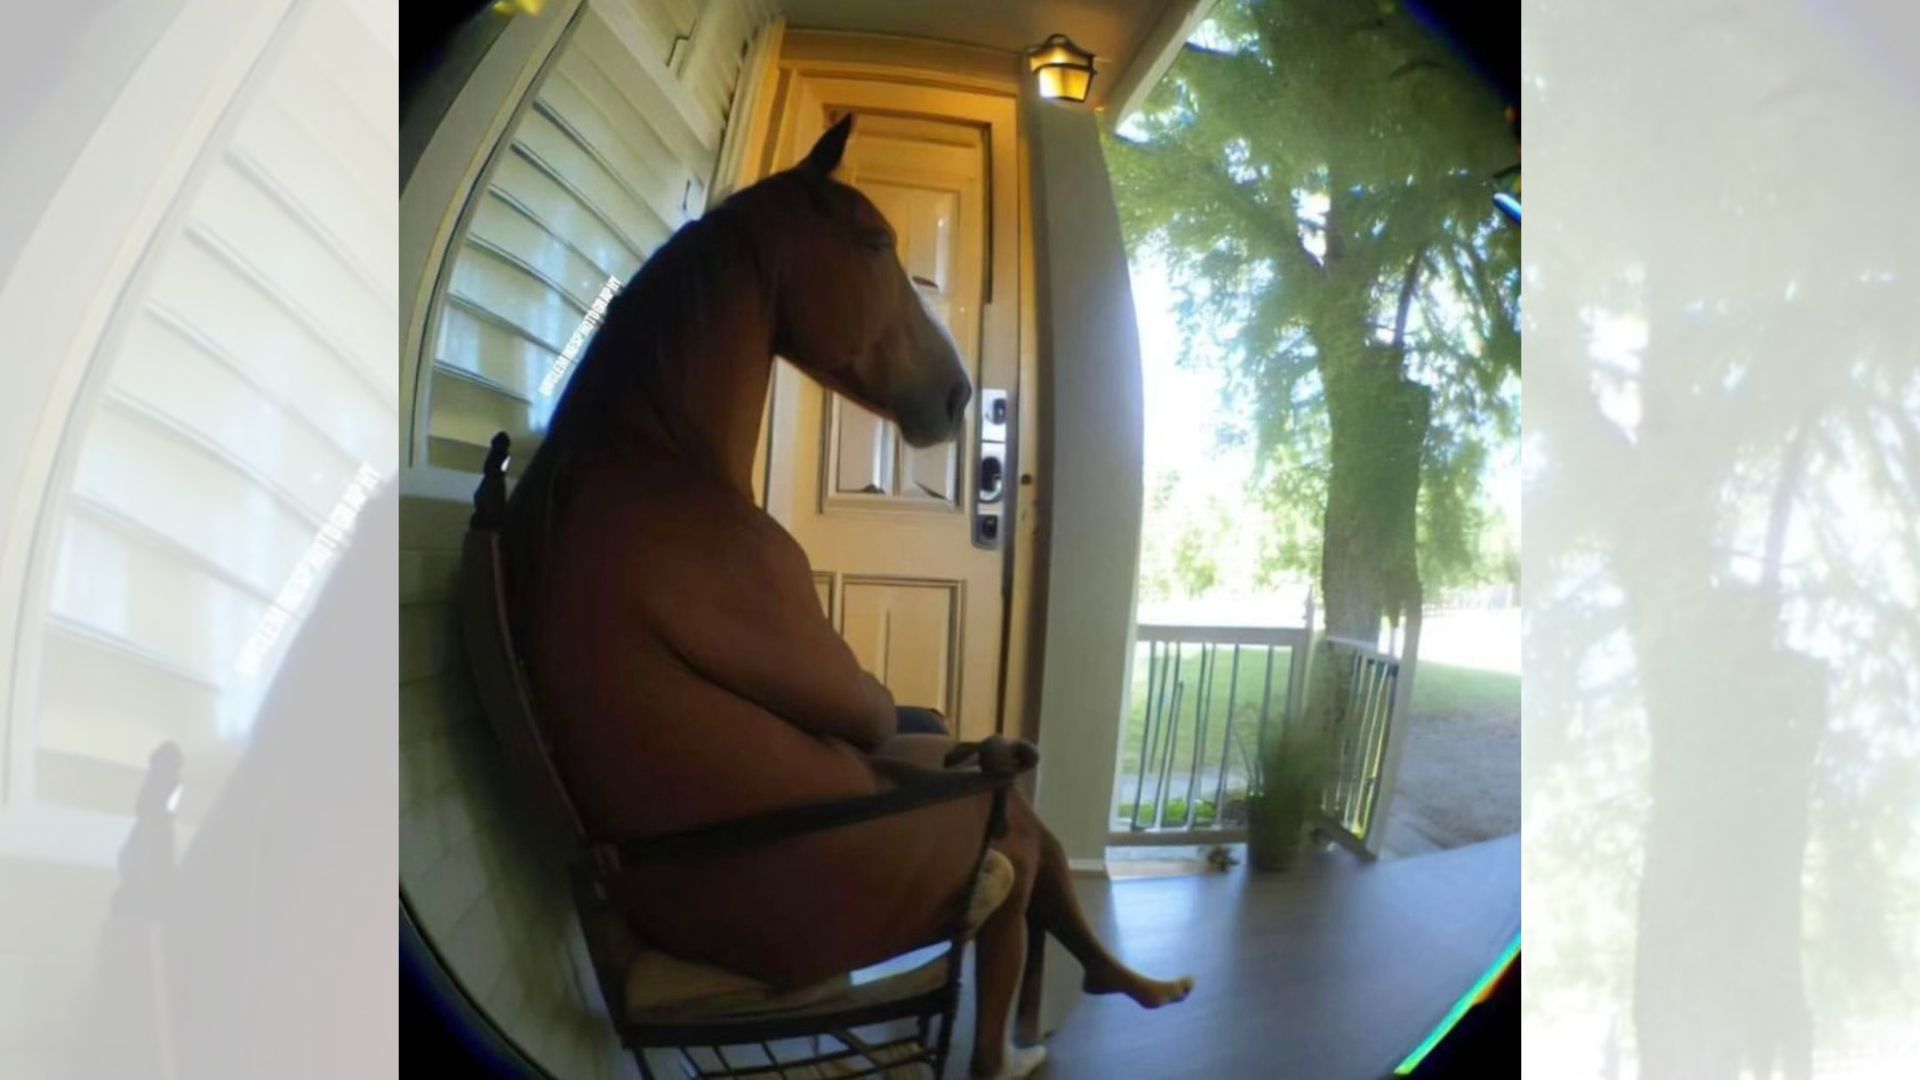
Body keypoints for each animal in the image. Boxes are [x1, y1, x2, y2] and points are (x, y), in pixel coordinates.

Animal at [502, 114, 1190, 1079]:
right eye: (874, 241)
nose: (960, 394)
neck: (648, 454)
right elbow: (868, 706)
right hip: (958, 856)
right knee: (1010, 915)